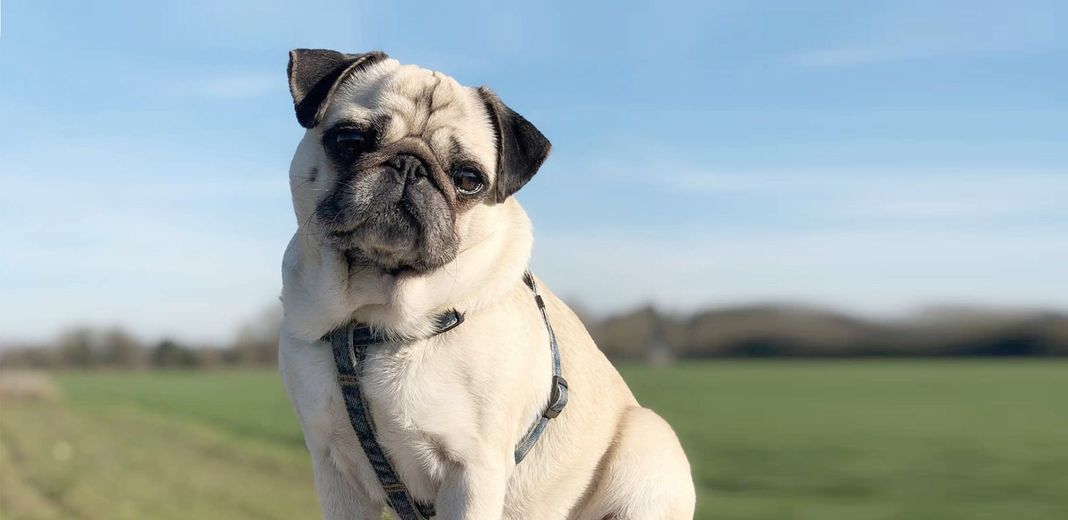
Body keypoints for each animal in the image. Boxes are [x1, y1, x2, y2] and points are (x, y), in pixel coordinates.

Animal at [275, 49, 696, 520]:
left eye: (467, 180)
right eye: (349, 142)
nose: (410, 164)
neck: (372, 321)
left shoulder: (472, 471)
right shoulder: (334, 469)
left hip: (648, 440)